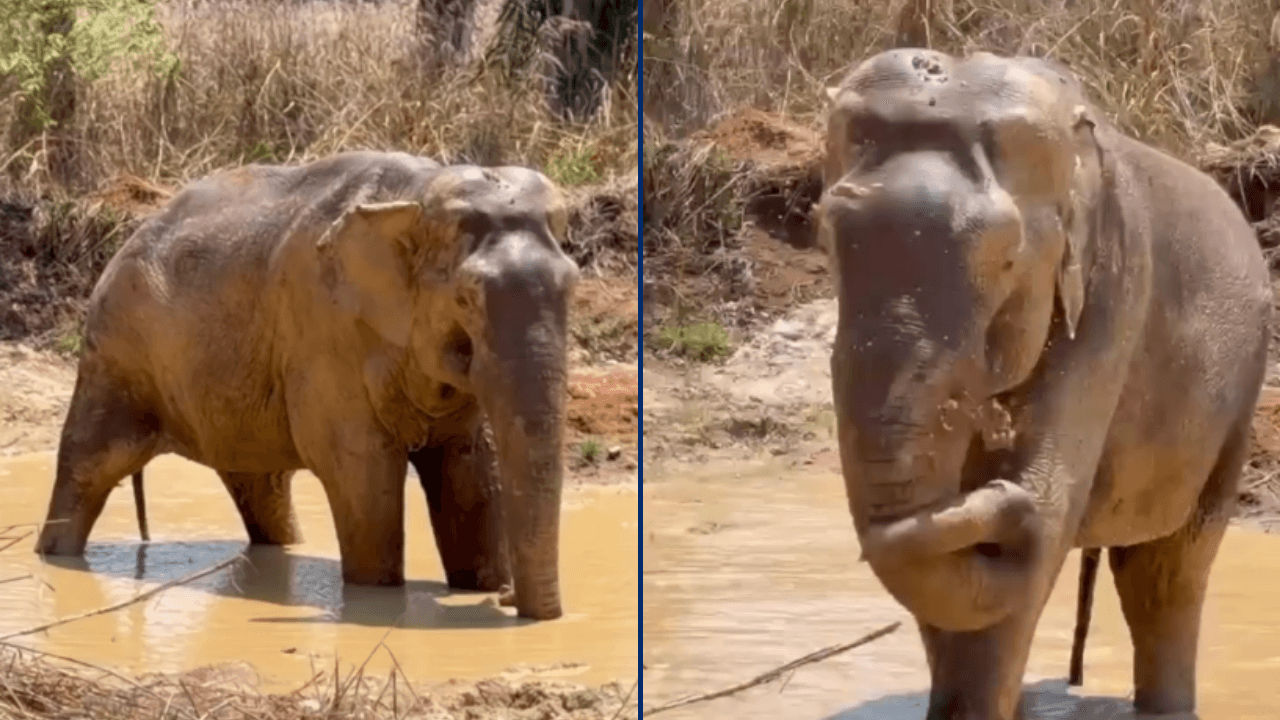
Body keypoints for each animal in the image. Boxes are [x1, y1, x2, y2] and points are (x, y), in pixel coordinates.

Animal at [34, 151, 579, 621]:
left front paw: (477, 586)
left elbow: (471, 466)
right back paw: (55, 558)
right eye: (467, 298)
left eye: (572, 285)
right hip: (115, 355)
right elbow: (360, 466)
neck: (417, 192)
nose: (507, 599)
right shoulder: (321, 332)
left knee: (261, 489)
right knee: (89, 465)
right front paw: (378, 599)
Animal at [816, 49, 1271, 718]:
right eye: (827, 238)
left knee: (1171, 567)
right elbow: (949, 570)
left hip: (1243, 388)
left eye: (1007, 260)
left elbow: (1047, 511)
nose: (999, 495)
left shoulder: (1114, 288)